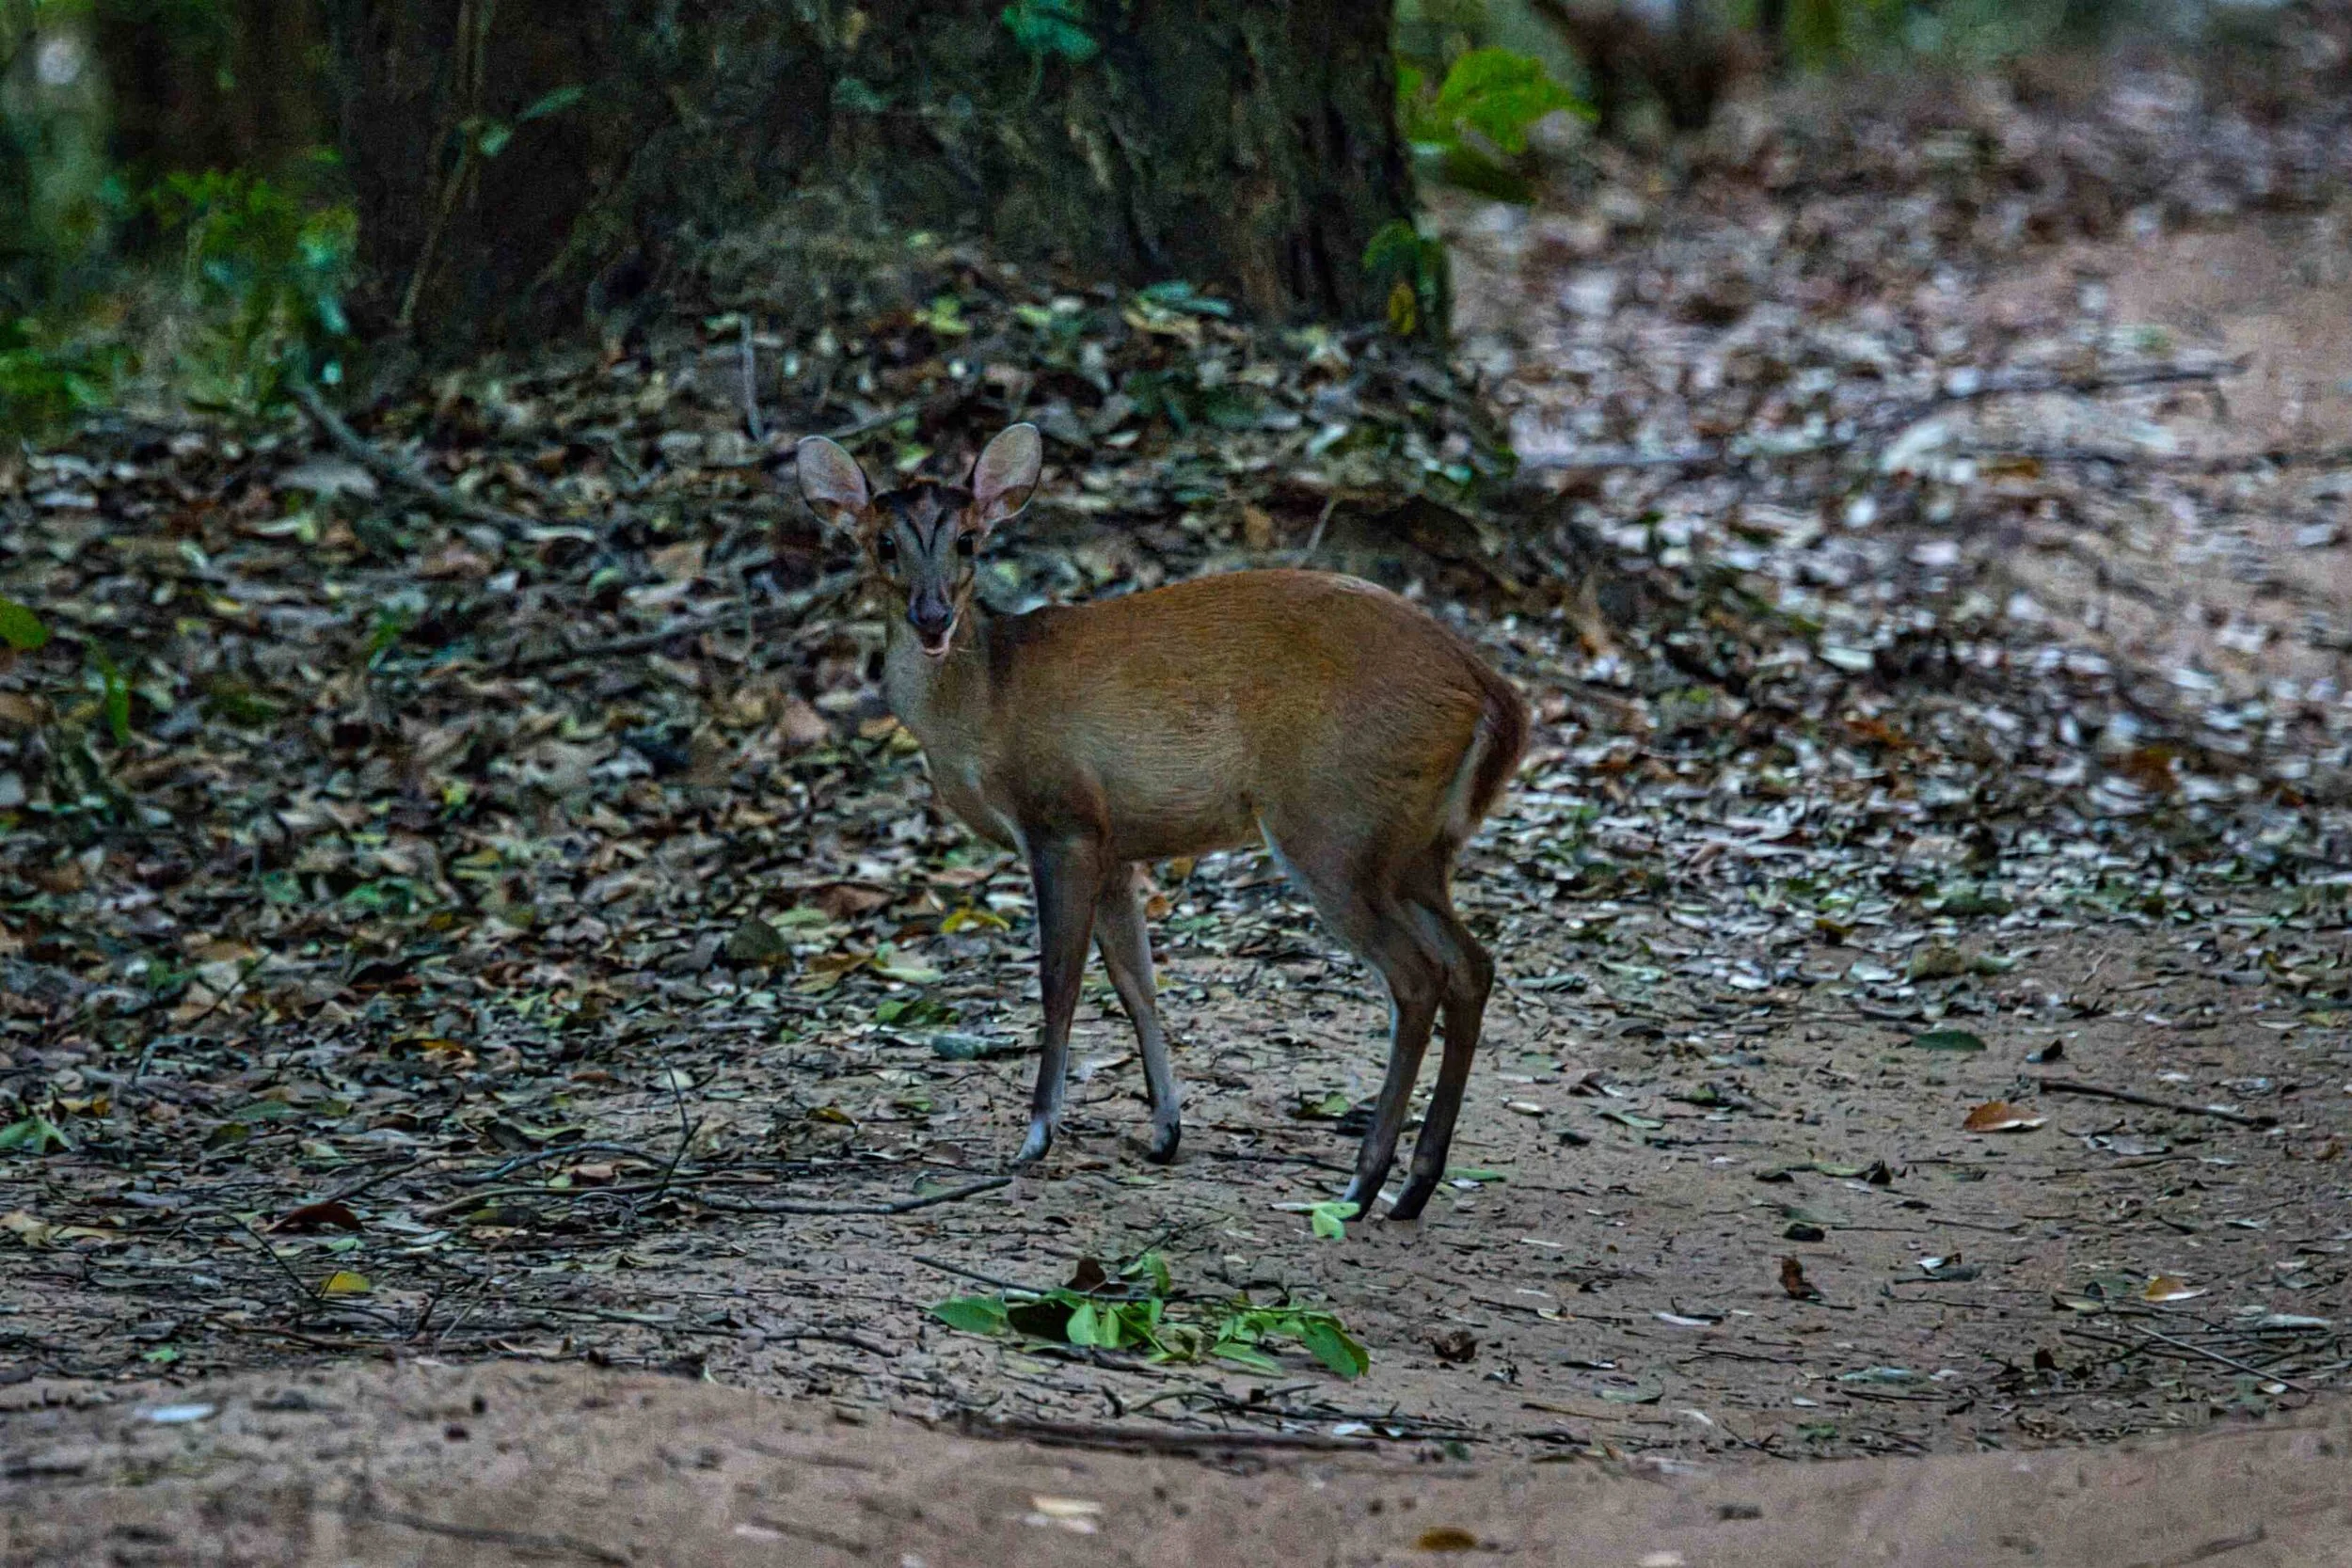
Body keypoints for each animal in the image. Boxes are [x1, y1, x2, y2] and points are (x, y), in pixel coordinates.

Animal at [794, 424, 1527, 1221]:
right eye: (883, 542)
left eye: (968, 540)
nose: (931, 618)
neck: (985, 705)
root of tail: (1494, 696)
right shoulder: (1116, 843)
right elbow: (1136, 980)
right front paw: (1165, 1131)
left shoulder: (1061, 819)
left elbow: (1060, 979)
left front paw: (1037, 1136)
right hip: (1413, 845)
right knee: (1472, 963)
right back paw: (1414, 1184)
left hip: (1333, 822)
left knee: (1419, 975)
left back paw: (1363, 1184)